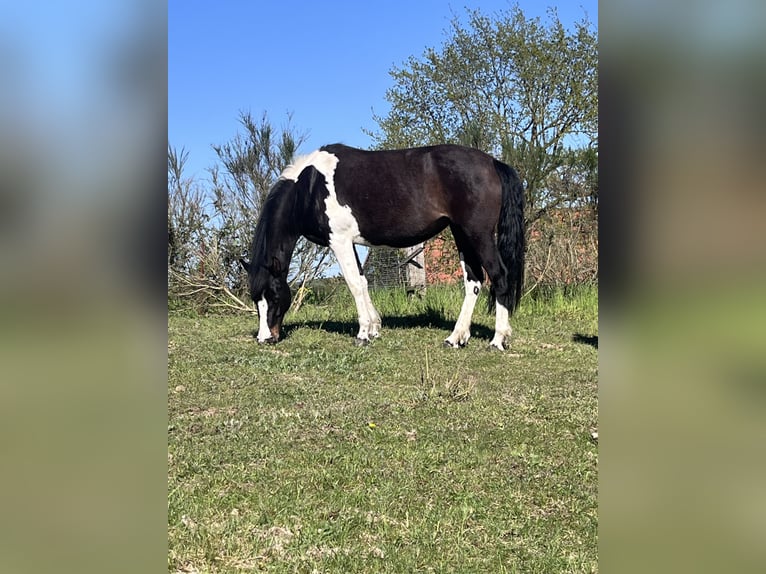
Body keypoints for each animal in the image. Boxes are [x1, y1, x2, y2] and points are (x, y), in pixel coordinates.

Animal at [239, 143, 525, 350]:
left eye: (273, 295)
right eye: (256, 299)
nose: (265, 338)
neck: (309, 187)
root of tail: (492, 163)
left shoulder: (339, 241)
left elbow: (354, 284)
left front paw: (363, 334)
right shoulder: (350, 243)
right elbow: (363, 282)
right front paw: (375, 328)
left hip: (479, 235)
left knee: (499, 277)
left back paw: (498, 340)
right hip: (462, 234)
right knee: (473, 282)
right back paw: (456, 338)